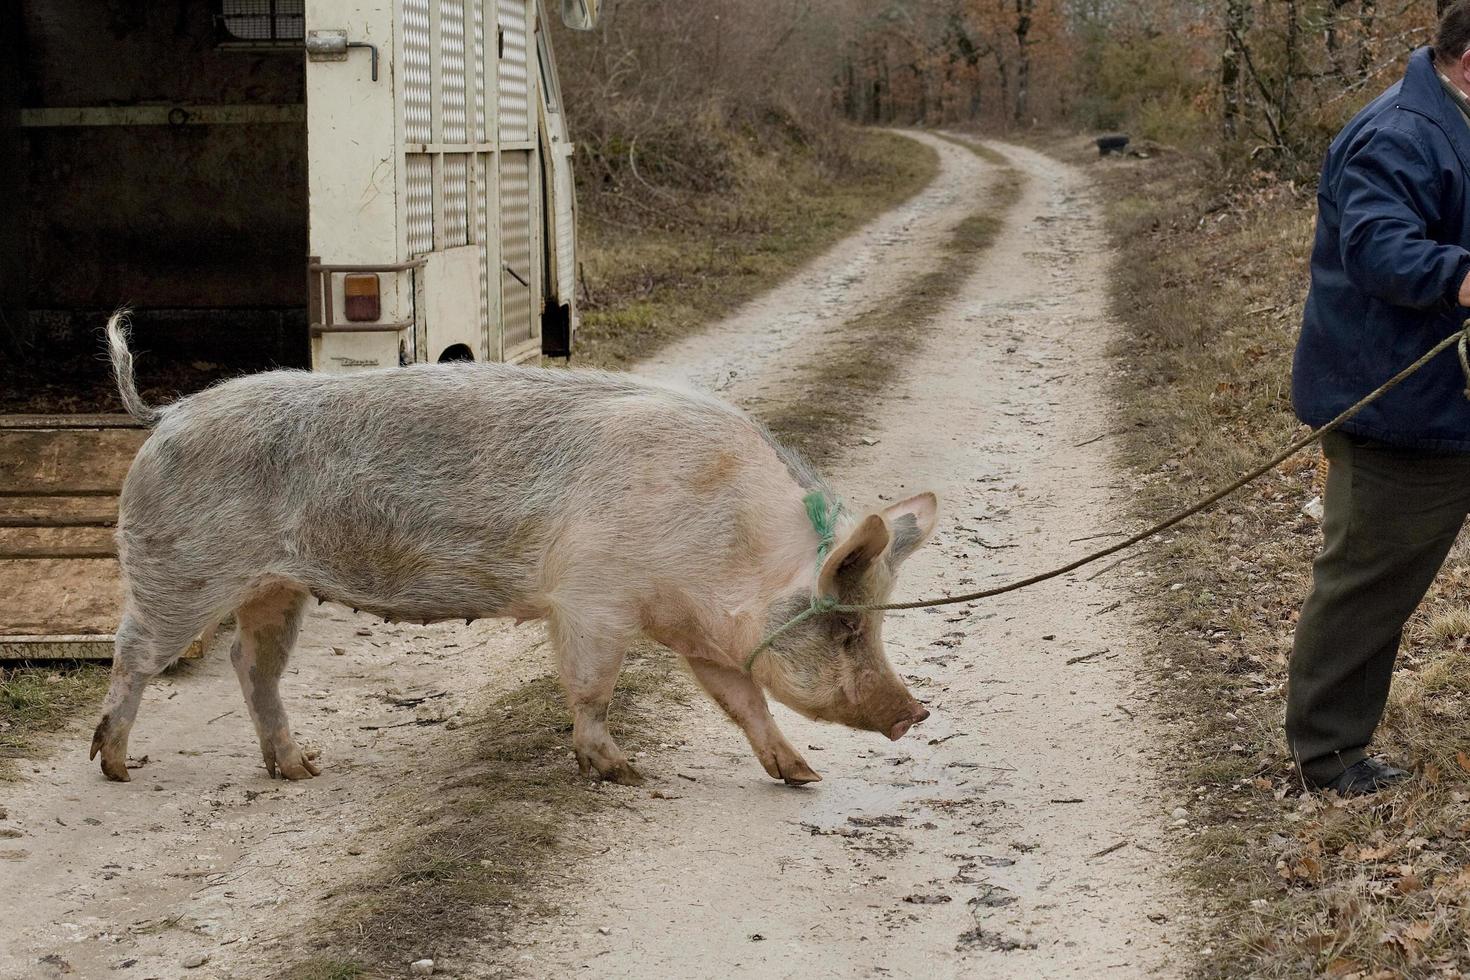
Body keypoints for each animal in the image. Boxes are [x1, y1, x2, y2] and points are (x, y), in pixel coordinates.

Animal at [91, 314, 934, 787]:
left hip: (275, 587)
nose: (915, 713)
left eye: (872, 623)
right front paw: (623, 772)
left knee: (251, 665)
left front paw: (804, 777)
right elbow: (593, 688)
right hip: (178, 569)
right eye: (848, 626)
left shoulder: (706, 638)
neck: (732, 543)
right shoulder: (593, 601)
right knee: (134, 654)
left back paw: (300, 770)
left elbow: (744, 704)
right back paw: (117, 765)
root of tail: (166, 414)